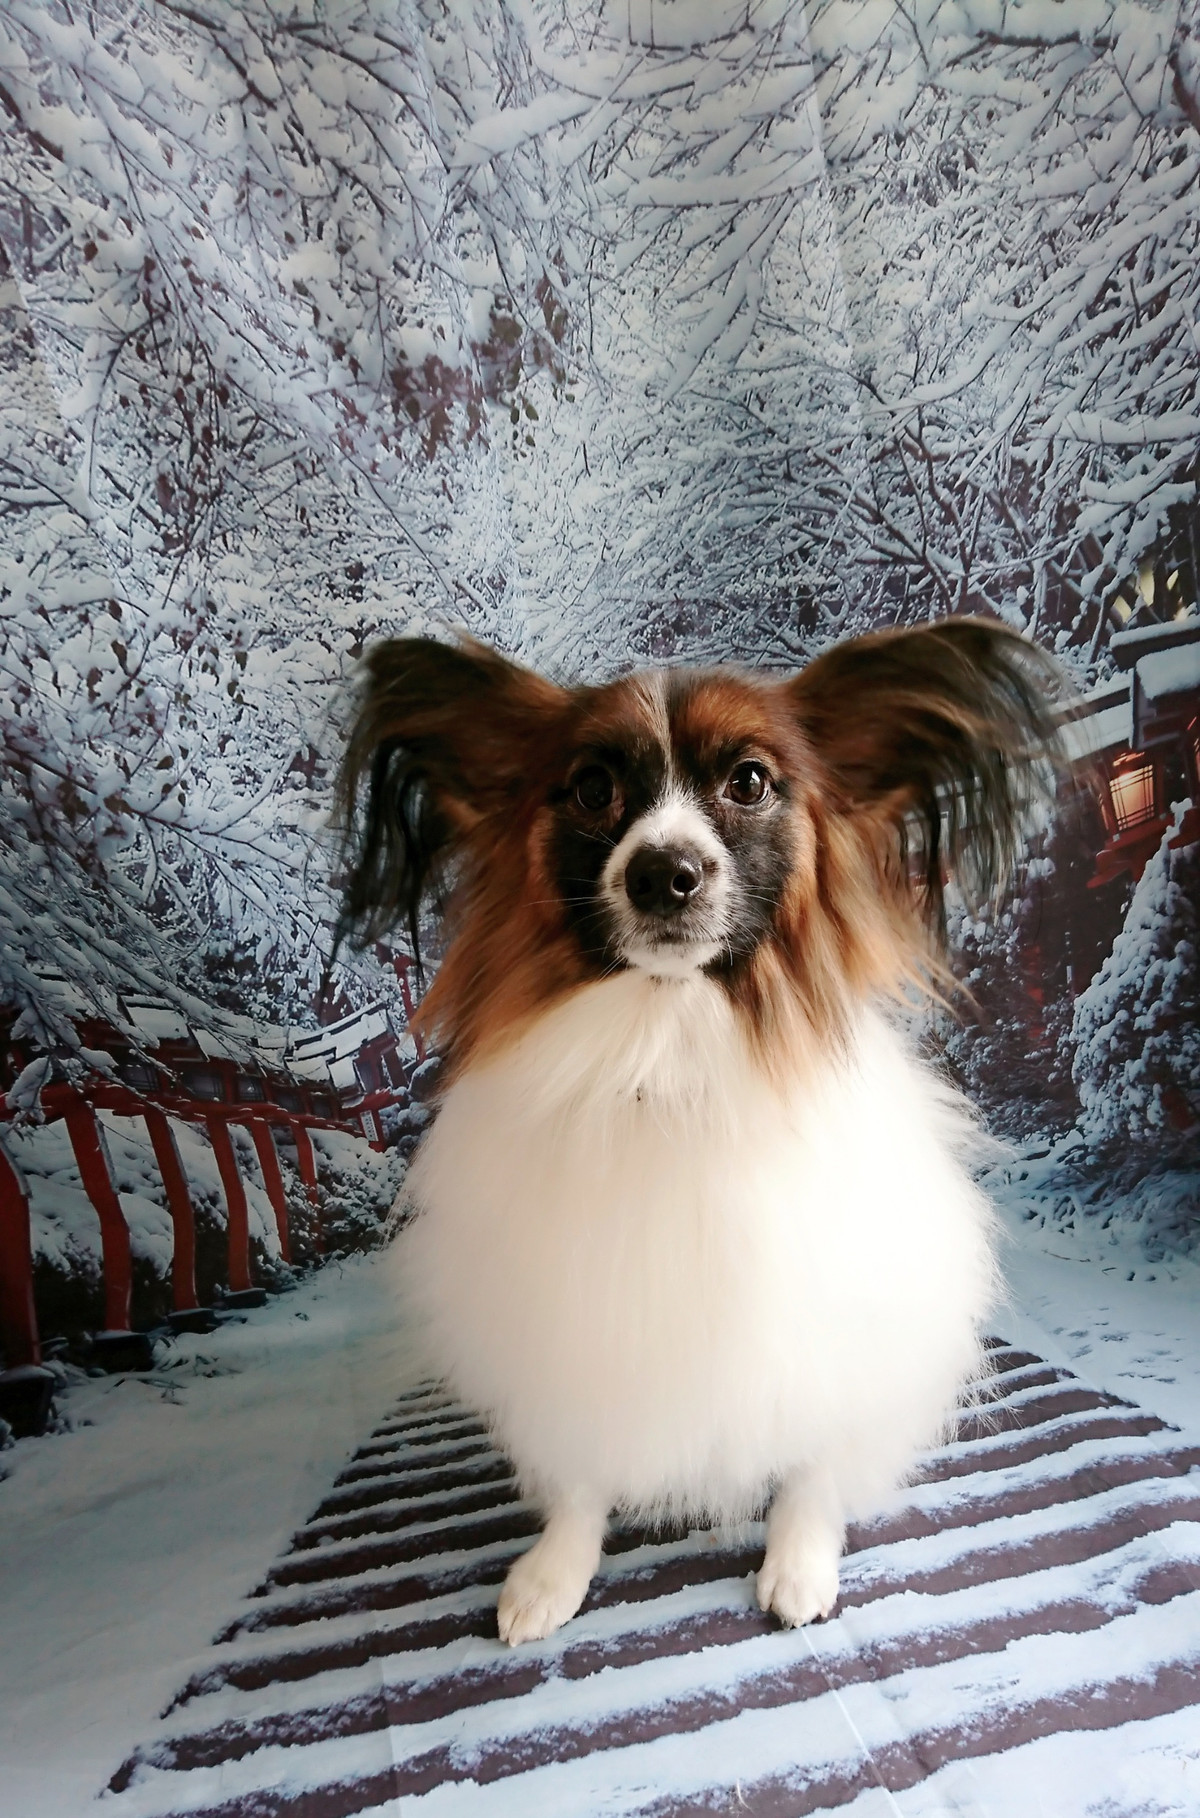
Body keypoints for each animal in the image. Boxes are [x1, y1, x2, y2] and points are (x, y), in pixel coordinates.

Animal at [336, 618, 1064, 1645]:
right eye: (593, 787)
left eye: (750, 781)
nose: (663, 874)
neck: (667, 1042)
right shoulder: (576, 1323)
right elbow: (582, 1476)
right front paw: (554, 1571)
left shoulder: (818, 1320)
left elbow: (811, 1461)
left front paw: (800, 1559)